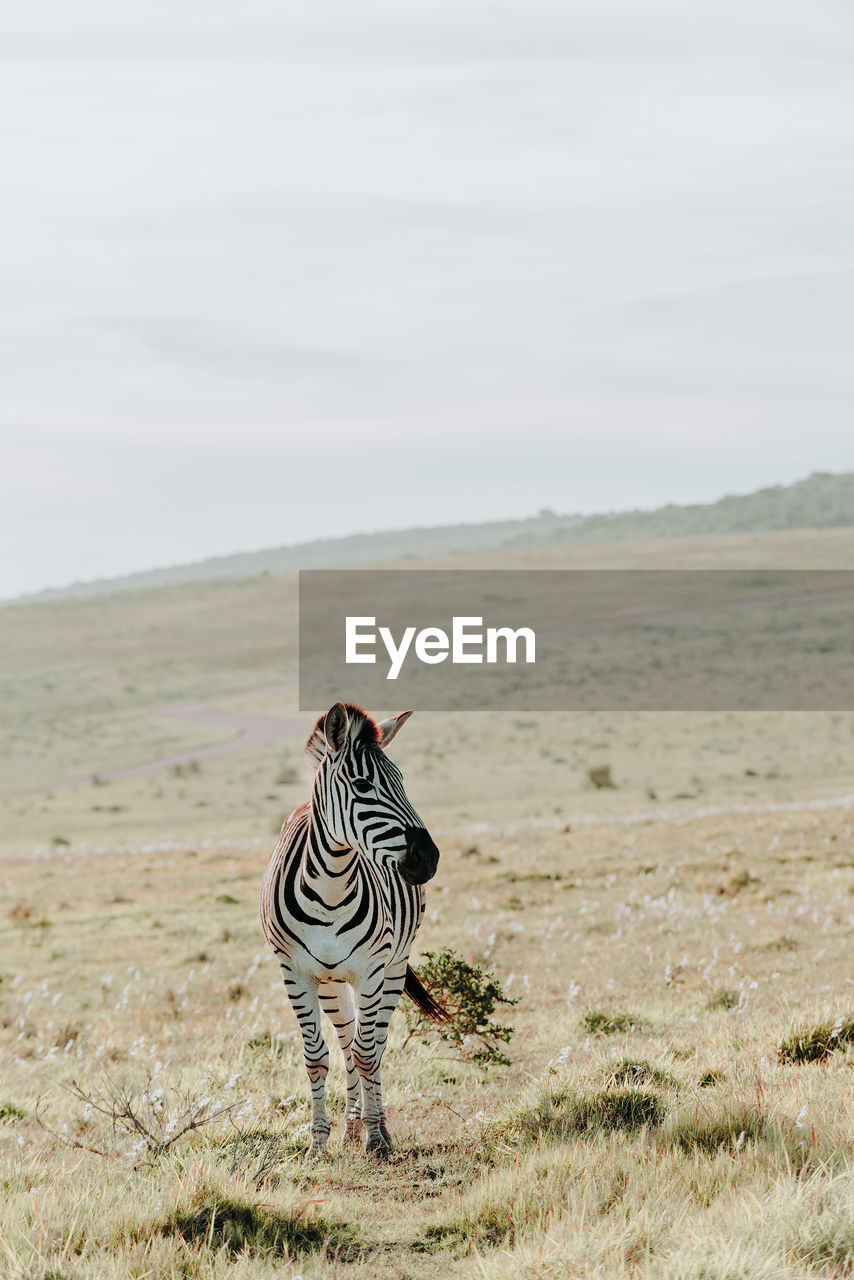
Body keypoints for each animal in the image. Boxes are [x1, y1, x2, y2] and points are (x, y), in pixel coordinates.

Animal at [258, 706, 448, 1157]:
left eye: (402, 780)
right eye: (363, 785)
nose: (428, 858)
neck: (330, 887)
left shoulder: (372, 970)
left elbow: (367, 1054)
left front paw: (376, 1142)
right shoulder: (295, 973)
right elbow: (317, 1056)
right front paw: (318, 1145)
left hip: (393, 969)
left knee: (373, 1045)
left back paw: (377, 1128)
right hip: (331, 982)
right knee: (346, 1043)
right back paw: (350, 1128)